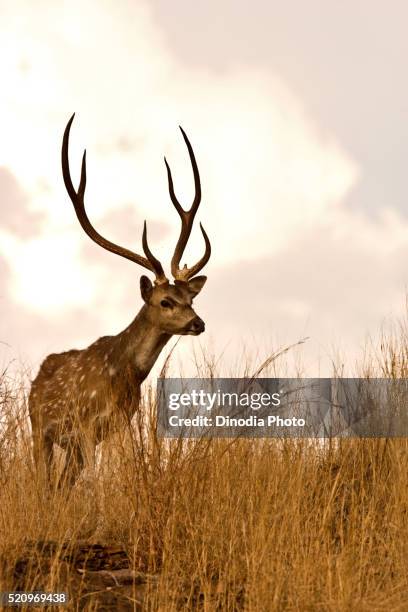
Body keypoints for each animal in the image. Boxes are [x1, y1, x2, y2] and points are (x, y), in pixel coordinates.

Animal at [28, 115, 212, 488]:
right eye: (165, 301)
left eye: (190, 297)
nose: (197, 323)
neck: (124, 375)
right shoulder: (85, 422)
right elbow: (97, 482)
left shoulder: (119, 422)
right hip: (38, 428)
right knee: (44, 482)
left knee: (60, 486)